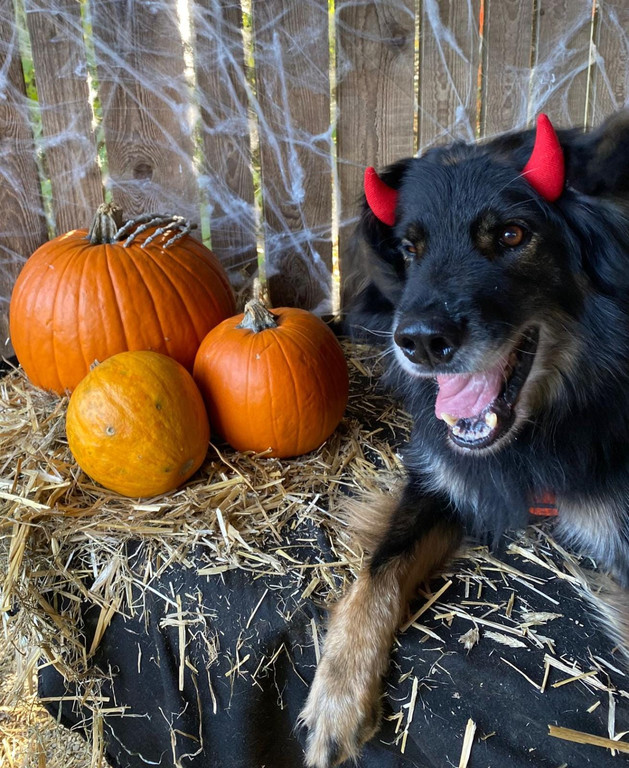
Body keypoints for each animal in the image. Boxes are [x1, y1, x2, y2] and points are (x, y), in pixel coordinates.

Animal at [298, 110, 629, 767]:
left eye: (511, 235)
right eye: (410, 248)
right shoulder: (443, 481)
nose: (419, 343)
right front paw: (337, 696)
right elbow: (377, 570)